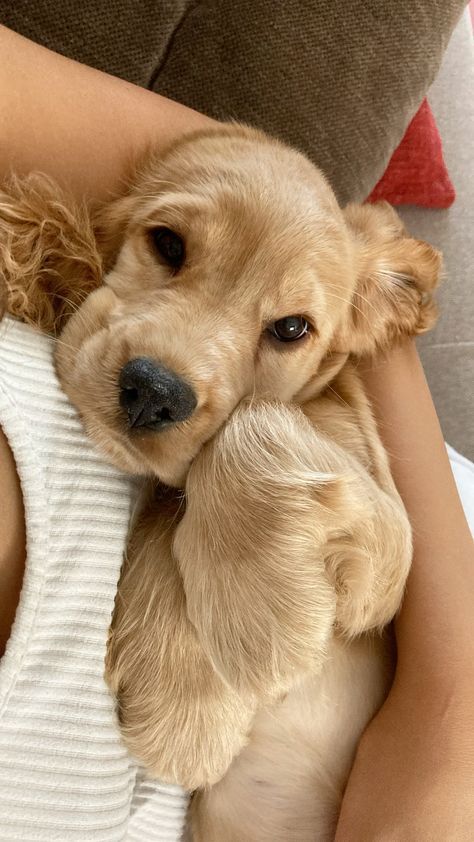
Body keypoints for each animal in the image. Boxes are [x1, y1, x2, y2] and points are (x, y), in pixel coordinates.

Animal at [0, 121, 440, 836]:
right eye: (168, 244)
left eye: (291, 328)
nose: (153, 394)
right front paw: (186, 700)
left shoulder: (387, 569)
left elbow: (243, 422)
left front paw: (261, 629)